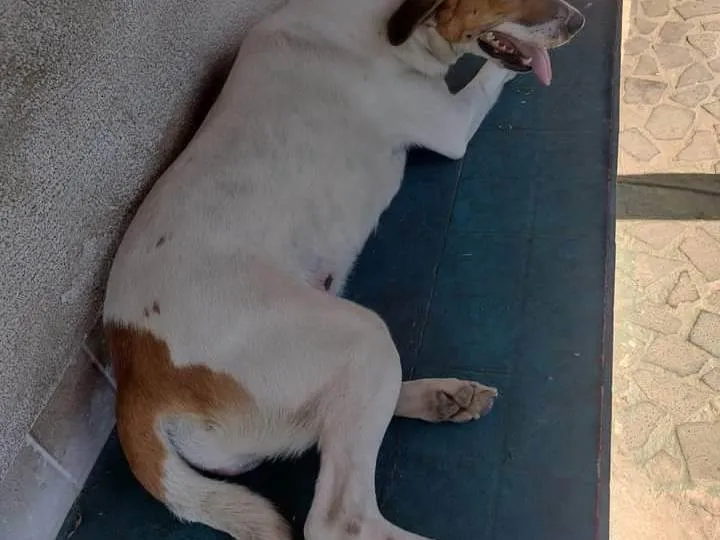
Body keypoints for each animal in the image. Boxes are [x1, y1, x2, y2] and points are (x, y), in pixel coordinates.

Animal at [103, 0, 584, 538]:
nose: (578, 21)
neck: (387, 27)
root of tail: (134, 375)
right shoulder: (452, 124)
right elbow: (492, 74)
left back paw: (441, 397)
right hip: (352, 333)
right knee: (339, 519)